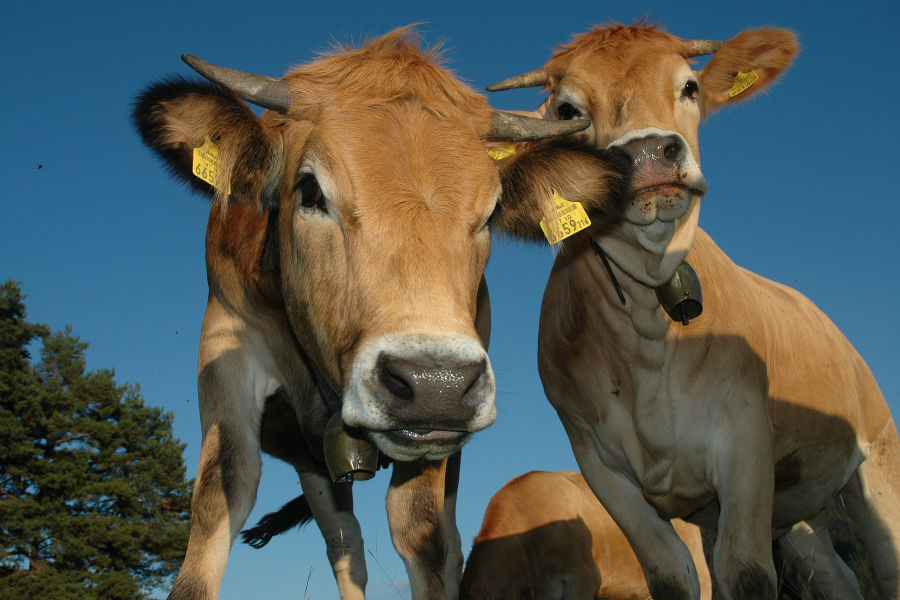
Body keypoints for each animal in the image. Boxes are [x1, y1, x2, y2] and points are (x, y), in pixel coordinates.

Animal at [134, 27, 628, 600]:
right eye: (309, 190)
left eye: (489, 214)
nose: (435, 383)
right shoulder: (225, 336)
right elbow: (222, 492)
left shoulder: (440, 432)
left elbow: (421, 533)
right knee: (344, 543)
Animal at [488, 23, 900, 600]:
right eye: (568, 110)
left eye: (689, 87)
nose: (647, 154)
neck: (649, 329)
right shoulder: (601, 467)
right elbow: (673, 576)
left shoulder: (745, 438)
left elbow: (746, 573)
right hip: (792, 509)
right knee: (837, 576)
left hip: (877, 456)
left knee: (886, 563)